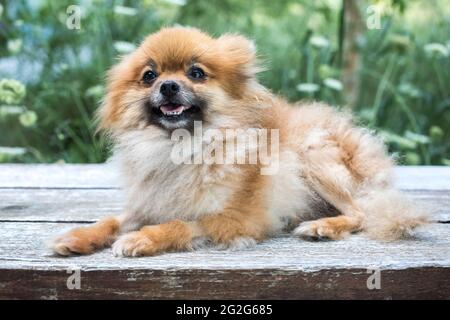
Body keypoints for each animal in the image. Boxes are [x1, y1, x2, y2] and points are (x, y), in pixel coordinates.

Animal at [51, 27, 428, 258]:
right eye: (149, 76)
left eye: (196, 73)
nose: (168, 85)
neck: (182, 145)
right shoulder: (149, 203)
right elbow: (113, 220)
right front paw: (78, 237)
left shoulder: (236, 218)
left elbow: (178, 224)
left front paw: (142, 238)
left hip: (312, 155)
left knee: (360, 212)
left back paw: (323, 226)